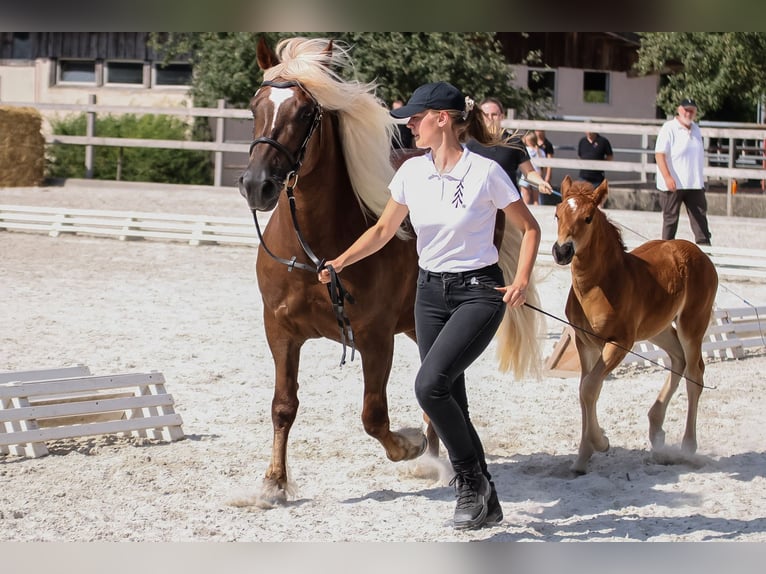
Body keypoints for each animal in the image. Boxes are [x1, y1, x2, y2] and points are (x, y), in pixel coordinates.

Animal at [551, 176, 718, 474]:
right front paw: (582, 458)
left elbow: (590, 388)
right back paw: (656, 427)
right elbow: (586, 390)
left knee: (695, 373)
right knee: (678, 360)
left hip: (692, 324)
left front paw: (601, 443)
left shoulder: (620, 343)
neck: (600, 285)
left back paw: (688, 447)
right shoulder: (584, 343)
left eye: (588, 218)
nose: (562, 251)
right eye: (557, 214)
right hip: (658, 329)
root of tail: (700, 253)